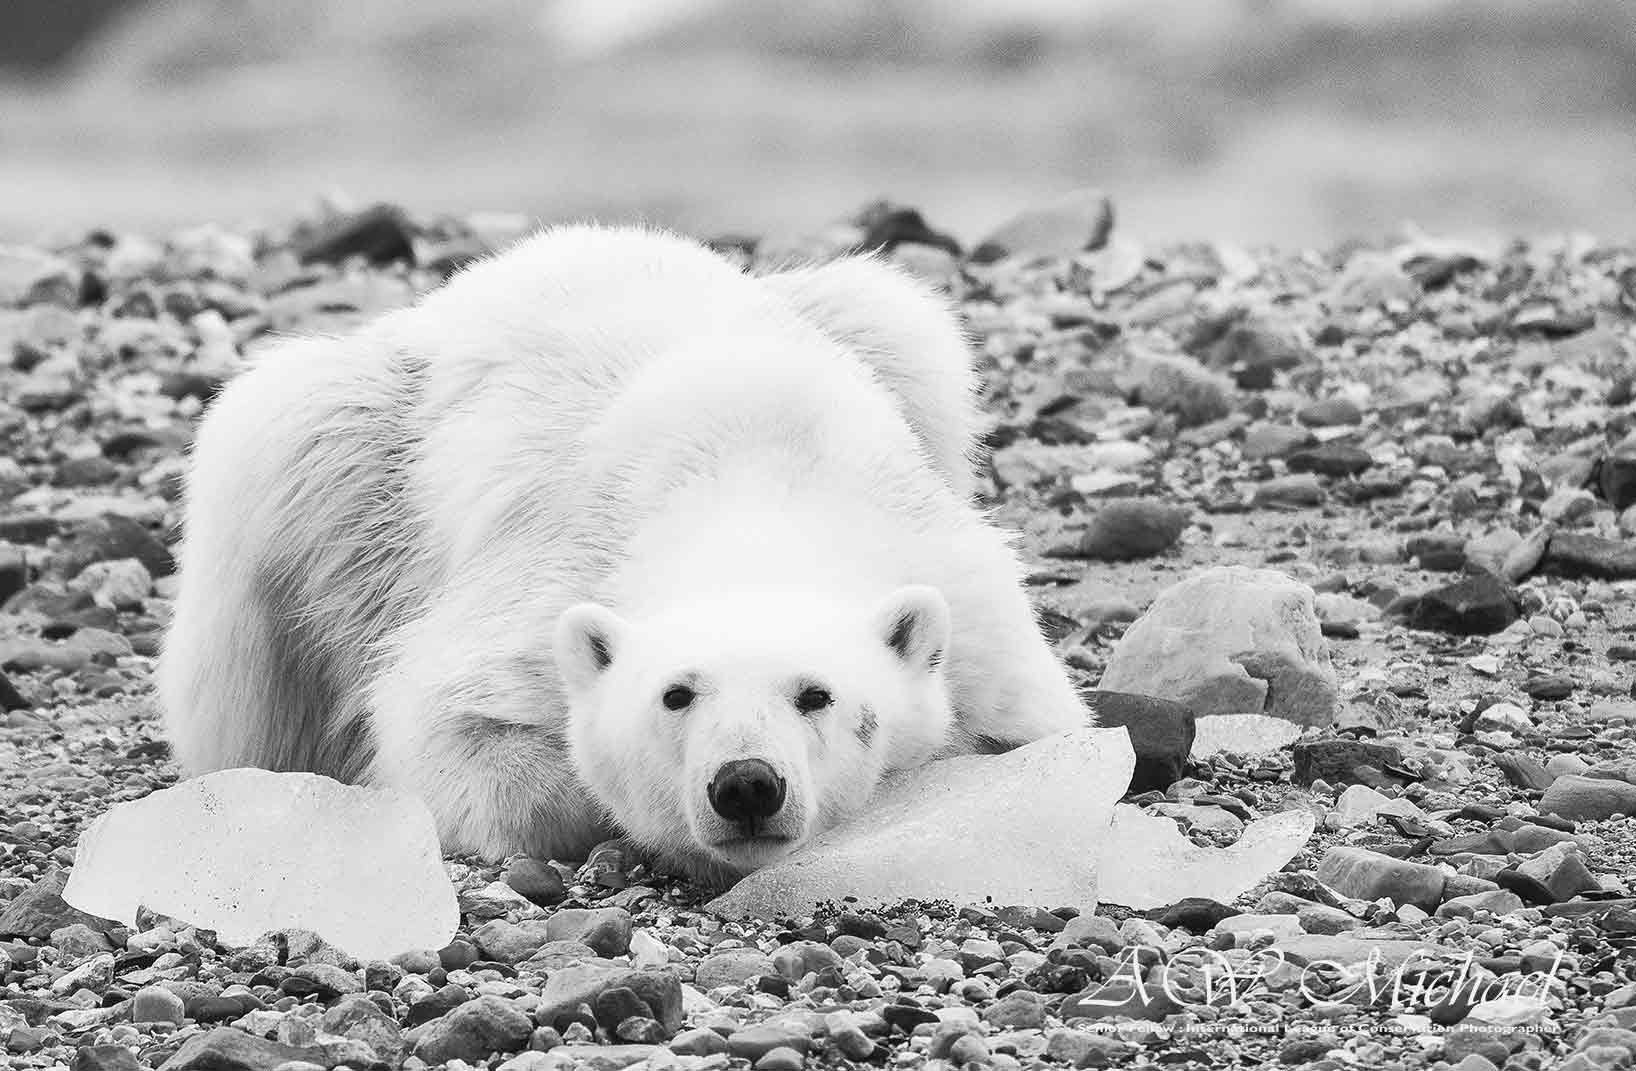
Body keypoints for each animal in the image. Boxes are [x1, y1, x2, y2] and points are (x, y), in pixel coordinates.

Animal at [159, 224, 1092, 882]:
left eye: (817, 694)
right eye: (676, 693)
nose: (746, 784)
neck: (751, 480)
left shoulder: (960, 592)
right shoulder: (551, 580)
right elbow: (450, 725)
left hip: (884, 334)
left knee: (903, 315)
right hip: (350, 466)